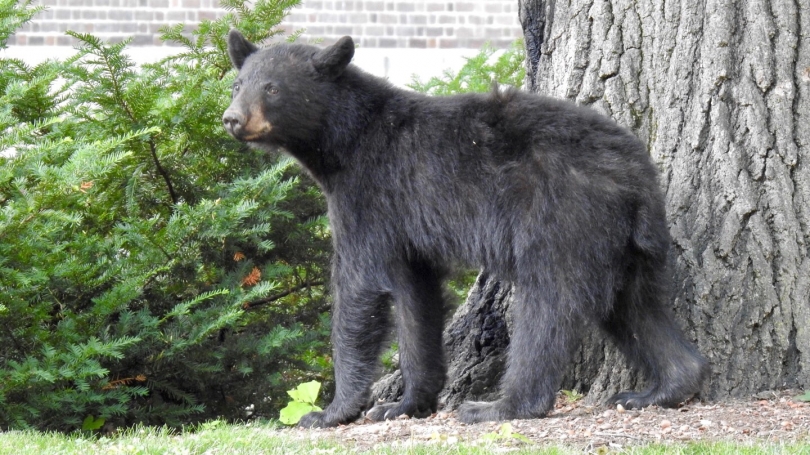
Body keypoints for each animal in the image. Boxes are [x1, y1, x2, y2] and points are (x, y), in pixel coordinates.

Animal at [223, 31, 708, 428]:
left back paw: (500, 405)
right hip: (630, 243)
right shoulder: (406, 230)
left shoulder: (369, 196)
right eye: (237, 84)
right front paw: (402, 404)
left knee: (549, 307)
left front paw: (332, 411)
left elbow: (359, 288)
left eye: (272, 87)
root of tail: (635, 173)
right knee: (635, 305)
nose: (231, 118)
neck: (344, 143)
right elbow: (414, 299)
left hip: (564, 217)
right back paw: (663, 387)